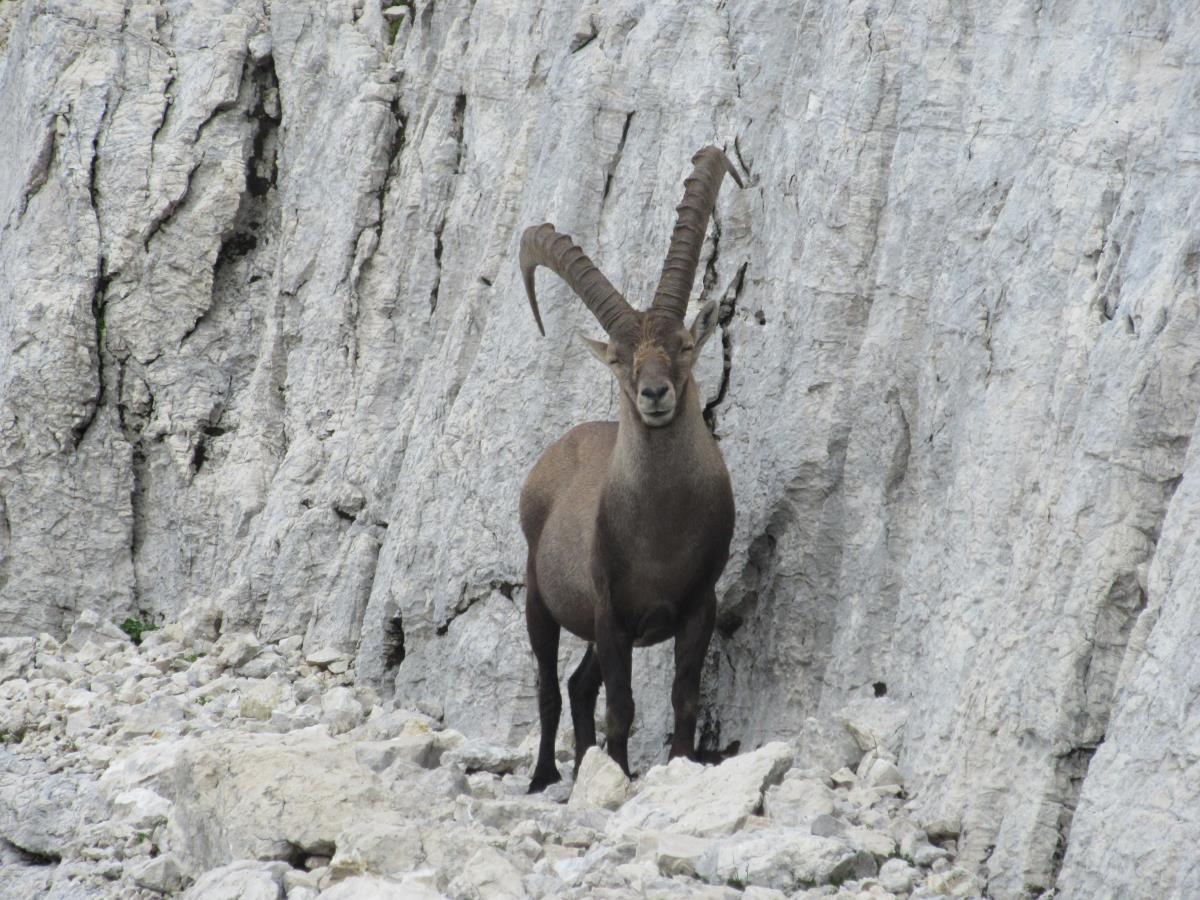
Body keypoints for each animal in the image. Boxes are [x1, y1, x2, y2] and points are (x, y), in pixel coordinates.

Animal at [517, 146, 743, 791]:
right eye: (619, 359)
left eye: (686, 343)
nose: (654, 394)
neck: (660, 527)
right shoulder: (610, 609)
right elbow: (621, 706)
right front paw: (615, 775)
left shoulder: (696, 604)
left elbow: (683, 697)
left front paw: (680, 764)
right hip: (540, 596)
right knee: (550, 687)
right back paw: (545, 776)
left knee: (577, 685)